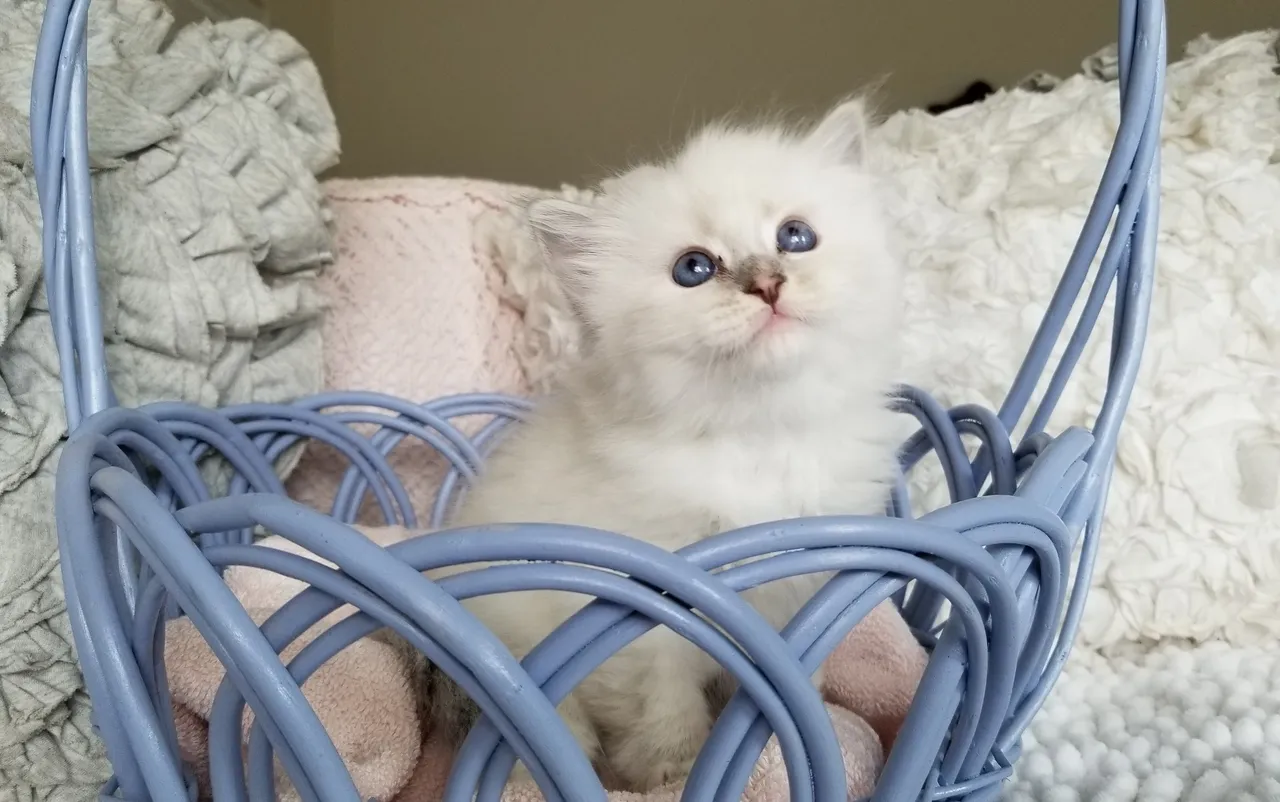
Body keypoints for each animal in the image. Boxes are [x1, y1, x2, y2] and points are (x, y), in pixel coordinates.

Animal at [425, 97, 904, 792]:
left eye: (795, 237)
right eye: (694, 270)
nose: (768, 283)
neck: (759, 435)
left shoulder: (796, 595)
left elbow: (788, 683)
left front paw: (781, 738)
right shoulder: (635, 618)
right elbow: (663, 711)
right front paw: (670, 777)